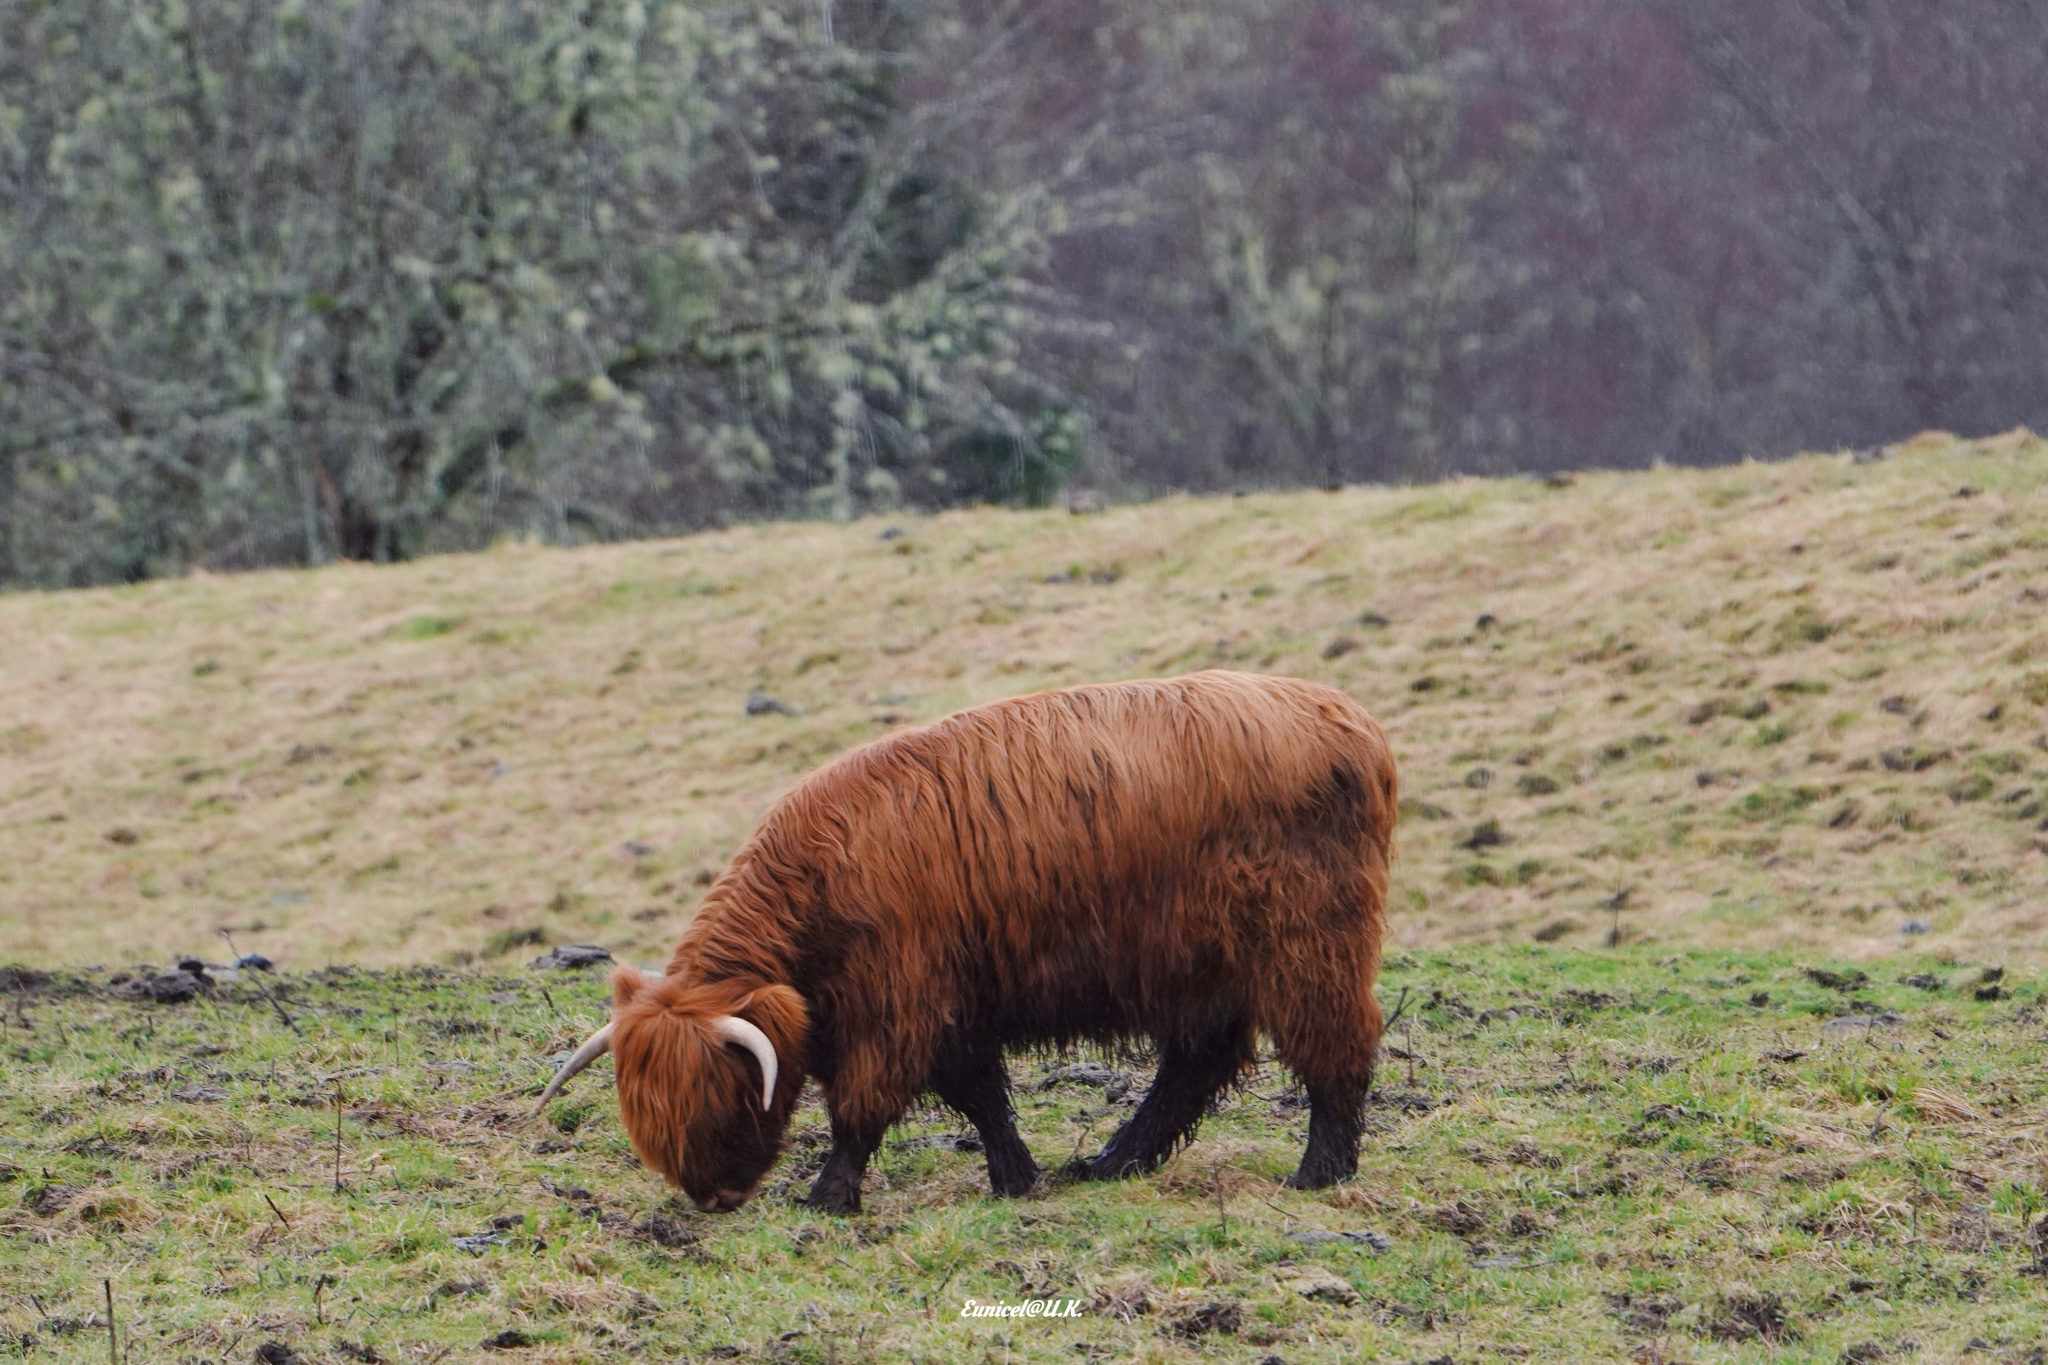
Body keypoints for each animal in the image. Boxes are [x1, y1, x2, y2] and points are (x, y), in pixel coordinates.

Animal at [536, 667, 1400, 1211]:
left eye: (720, 1092)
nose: (711, 1195)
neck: (820, 878)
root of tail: (1351, 721)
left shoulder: (898, 1002)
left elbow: (864, 1105)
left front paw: (827, 1194)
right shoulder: (951, 1005)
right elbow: (980, 1095)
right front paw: (1016, 1177)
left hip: (1308, 944)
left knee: (1336, 1046)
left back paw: (1318, 1172)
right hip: (1201, 968)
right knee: (1195, 1065)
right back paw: (1109, 1162)